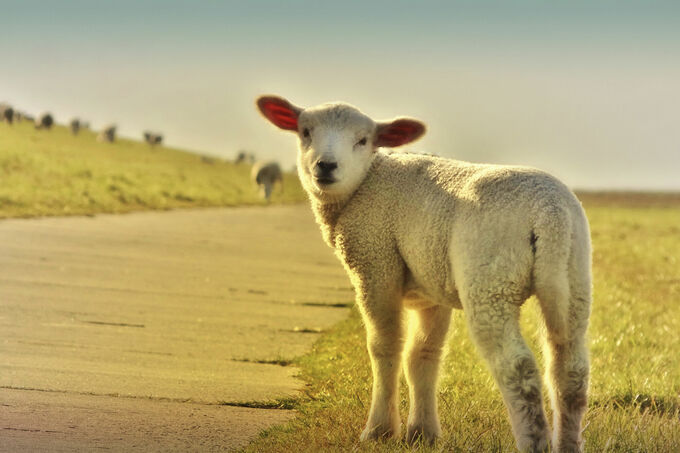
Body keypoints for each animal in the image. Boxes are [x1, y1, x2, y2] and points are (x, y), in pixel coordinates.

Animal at [256, 95, 591, 452]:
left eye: (363, 140)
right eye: (305, 132)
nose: (326, 166)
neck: (365, 183)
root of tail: (550, 213)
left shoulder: (375, 264)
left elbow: (385, 346)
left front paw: (379, 430)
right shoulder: (432, 288)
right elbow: (423, 356)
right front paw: (423, 432)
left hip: (490, 280)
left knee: (518, 367)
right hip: (573, 279)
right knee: (571, 370)